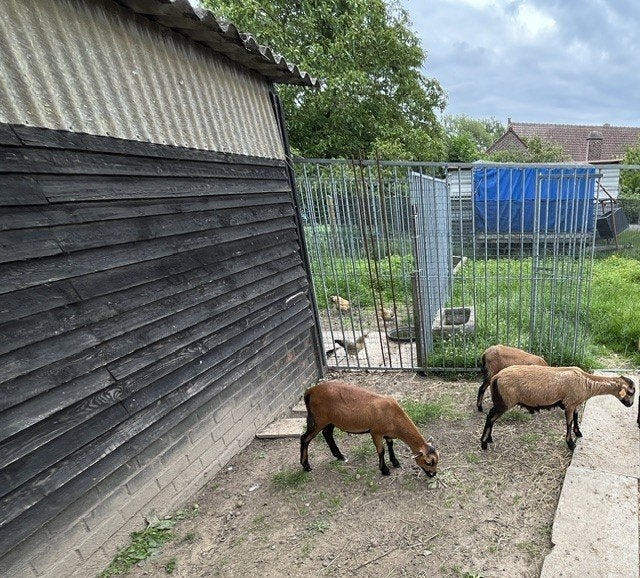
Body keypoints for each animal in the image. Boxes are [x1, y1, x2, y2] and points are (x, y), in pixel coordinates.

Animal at [300, 380, 439, 477]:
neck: (394, 417)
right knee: (305, 438)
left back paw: (340, 456)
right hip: (319, 419)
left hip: (330, 420)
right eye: (428, 462)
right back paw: (306, 466)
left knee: (327, 434)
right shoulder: (376, 432)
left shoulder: (388, 434)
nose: (433, 474)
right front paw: (384, 470)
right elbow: (381, 450)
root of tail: (309, 392)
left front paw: (395, 462)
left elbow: (390, 445)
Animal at [480, 365, 635, 450]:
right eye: (630, 392)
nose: (631, 404)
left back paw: (489, 439)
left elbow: (576, 418)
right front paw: (570, 443)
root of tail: (496, 377)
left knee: (492, 418)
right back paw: (484, 443)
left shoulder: (576, 403)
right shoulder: (569, 404)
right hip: (505, 402)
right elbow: (569, 422)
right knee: (490, 417)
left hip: (501, 401)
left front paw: (578, 433)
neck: (587, 383)